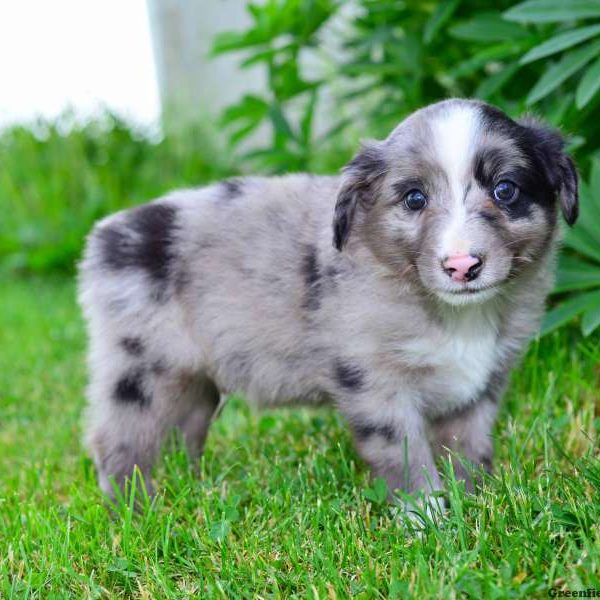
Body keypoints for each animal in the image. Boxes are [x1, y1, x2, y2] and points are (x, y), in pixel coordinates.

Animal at [77, 98, 580, 510]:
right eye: (414, 198)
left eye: (505, 190)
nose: (462, 265)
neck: (455, 315)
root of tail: (105, 235)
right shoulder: (377, 386)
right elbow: (407, 458)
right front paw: (429, 521)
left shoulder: (481, 387)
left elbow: (467, 452)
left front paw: (473, 504)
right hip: (139, 373)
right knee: (116, 443)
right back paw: (134, 512)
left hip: (193, 381)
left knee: (184, 433)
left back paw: (192, 489)